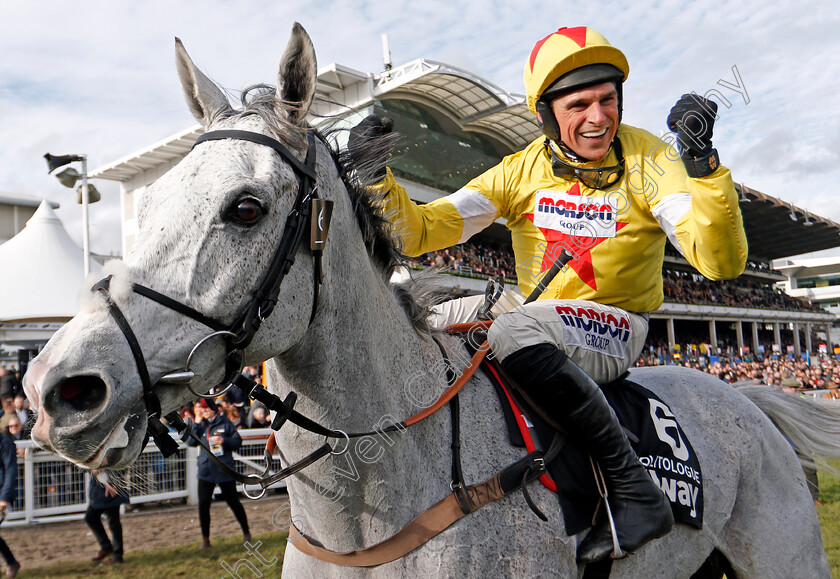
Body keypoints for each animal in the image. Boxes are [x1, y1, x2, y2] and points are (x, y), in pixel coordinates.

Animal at [23, 22, 836, 579]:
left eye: (246, 207)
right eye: (154, 201)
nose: (60, 389)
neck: (366, 518)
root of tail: (749, 399)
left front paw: (695, 140)